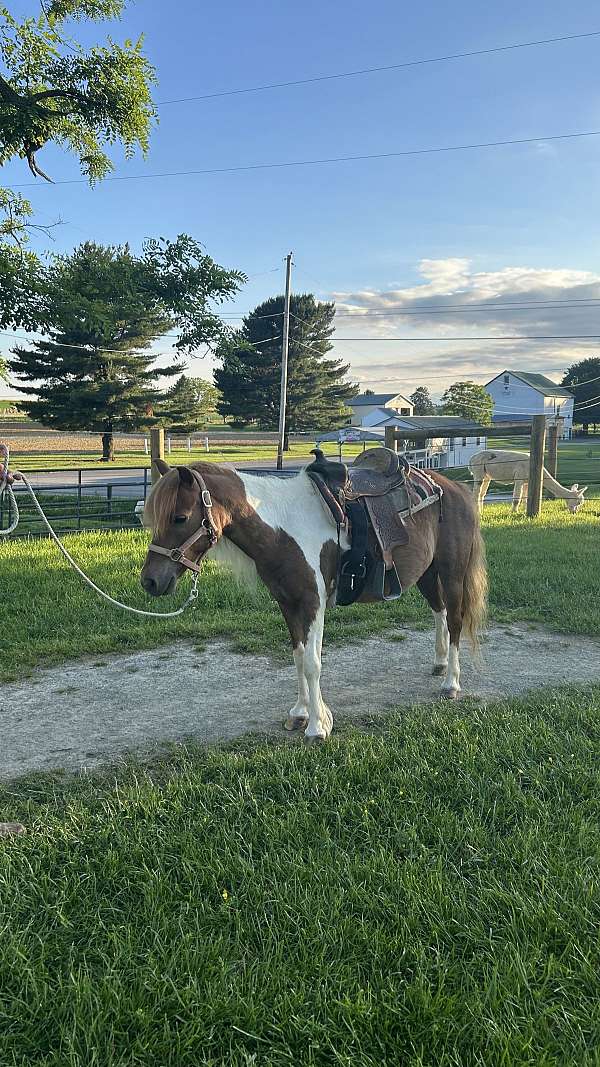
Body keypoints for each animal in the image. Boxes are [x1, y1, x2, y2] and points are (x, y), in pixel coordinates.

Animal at [140, 457, 487, 742]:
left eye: (180, 517)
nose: (150, 581)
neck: (283, 530)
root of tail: (453, 488)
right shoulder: (288, 603)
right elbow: (298, 658)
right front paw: (301, 713)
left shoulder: (312, 603)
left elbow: (312, 663)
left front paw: (317, 727)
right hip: (427, 574)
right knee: (439, 613)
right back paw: (440, 664)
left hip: (451, 572)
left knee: (455, 620)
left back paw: (451, 684)